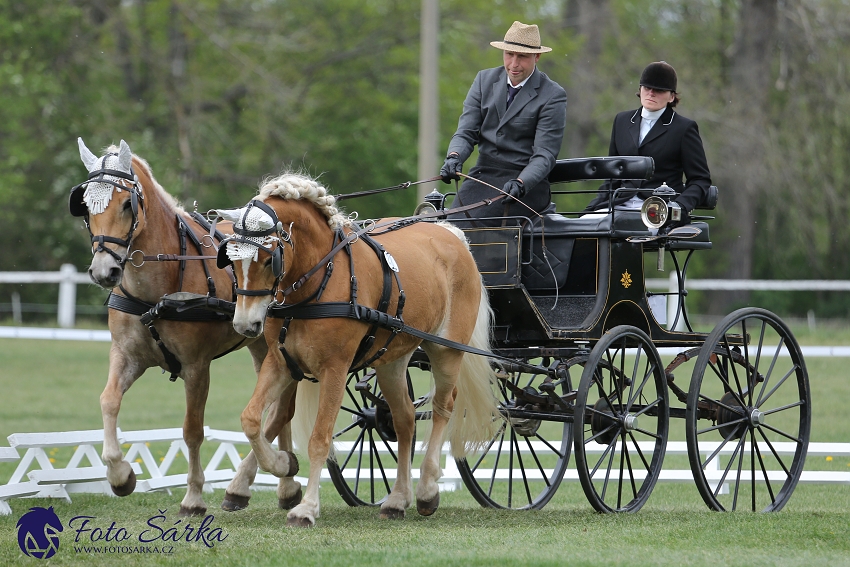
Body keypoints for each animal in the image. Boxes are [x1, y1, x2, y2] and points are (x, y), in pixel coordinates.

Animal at [67, 138, 288, 516]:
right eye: (85, 207)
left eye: (126, 203)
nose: (103, 271)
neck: (157, 290)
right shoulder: (126, 356)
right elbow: (108, 401)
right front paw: (120, 475)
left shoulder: (197, 367)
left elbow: (192, 431)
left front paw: (194, 497)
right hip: (259, 344)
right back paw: (287, 485)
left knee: (282, 406)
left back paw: (260, 483)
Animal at [215, 173, 500, 528]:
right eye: (232, 261)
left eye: (269, 259)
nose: (245, 324)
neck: (319, 281)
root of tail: (451, 234)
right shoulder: (280, 364)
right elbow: (252, 420)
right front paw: (281, 464)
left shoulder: (335, 370)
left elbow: (319, 439)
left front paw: (306, 508)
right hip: (392, 361)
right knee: (405, 419)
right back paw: (397, 499)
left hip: (445, 350)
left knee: (443, 406)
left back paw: (427, 489)